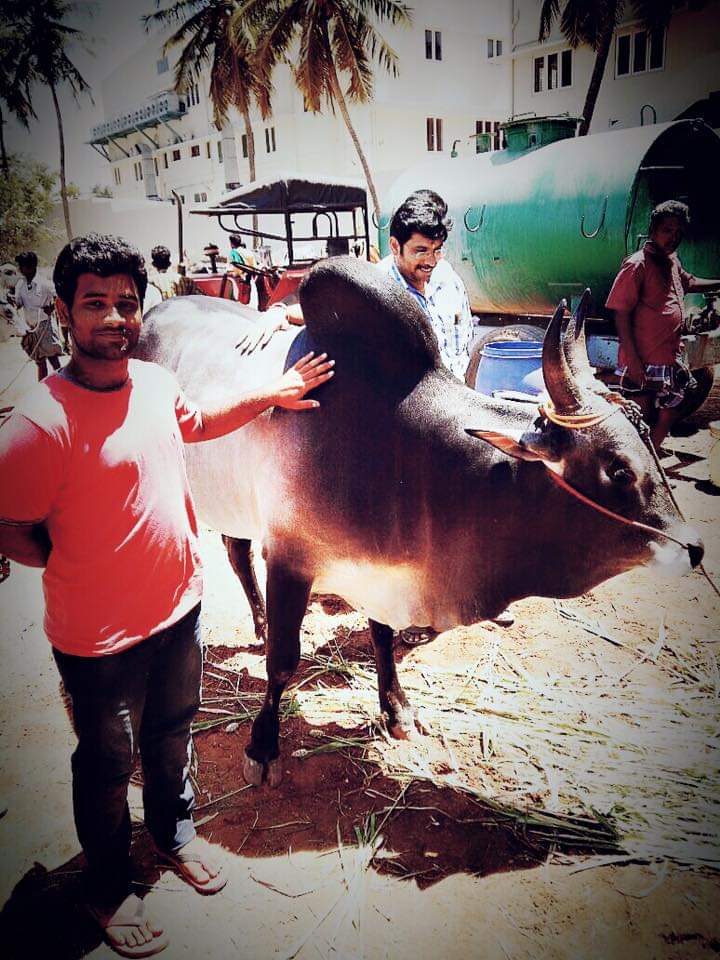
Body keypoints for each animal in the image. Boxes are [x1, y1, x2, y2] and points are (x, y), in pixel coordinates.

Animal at [137, 257, 703, 787]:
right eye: (617, 469)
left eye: (650, 446)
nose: (694, 548)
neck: (406, 451)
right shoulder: (290, 559)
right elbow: (283, 660)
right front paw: (262, 747)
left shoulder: (383, 570)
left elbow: (382, 639)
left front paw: (398, 712)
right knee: (231, 559)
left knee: (235, 550)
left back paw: (257, 622)